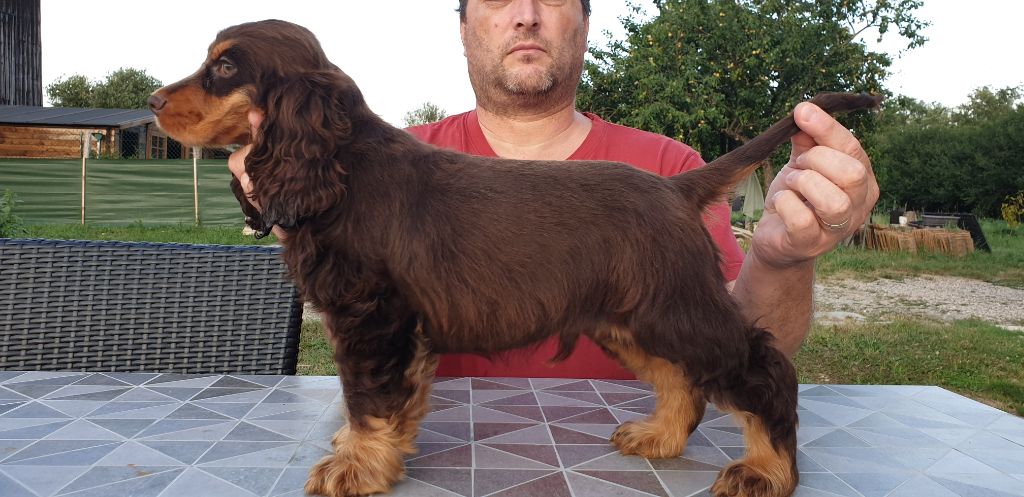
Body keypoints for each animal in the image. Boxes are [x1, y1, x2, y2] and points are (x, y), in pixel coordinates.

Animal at [149, 19, 880, 497]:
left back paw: (767, 469)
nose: (153, 102)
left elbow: (368, 398)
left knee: (763, 370)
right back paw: (659, 438)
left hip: (675, 308)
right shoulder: (392, 324)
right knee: (683, 381)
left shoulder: (372, 316)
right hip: (630, 318)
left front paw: (356, 465)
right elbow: (394, 399)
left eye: (224, 66)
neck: (336, 163)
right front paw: (378, 454)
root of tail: (676, 189)